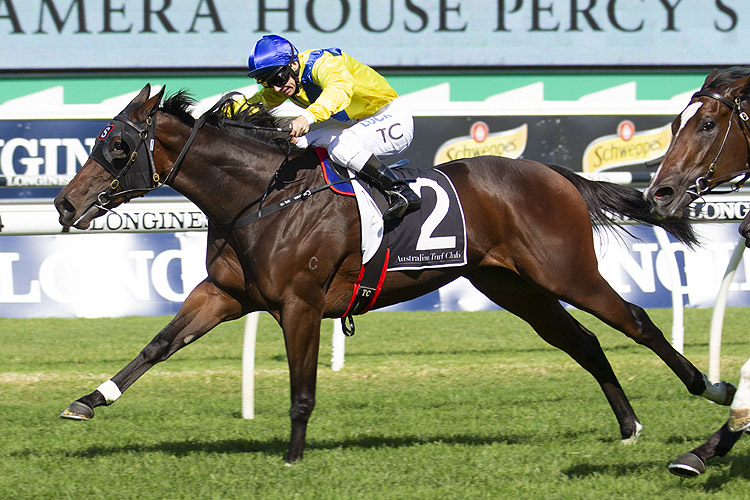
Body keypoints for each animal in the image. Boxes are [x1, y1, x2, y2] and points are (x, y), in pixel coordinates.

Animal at [57, 84, 736, 462]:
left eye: (117, 146)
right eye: (99, 141)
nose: (64, 204)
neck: (259, 197)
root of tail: (550, 172)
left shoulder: (300, 303)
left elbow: (302, 390)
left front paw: (293, 459)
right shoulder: (225, 293)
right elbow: (157, 345)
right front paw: (88, 401)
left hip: (567, 271)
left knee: (637, 321)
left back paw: (712, 388)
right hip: (514, 285)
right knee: (584, 342)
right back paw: (628, 424)